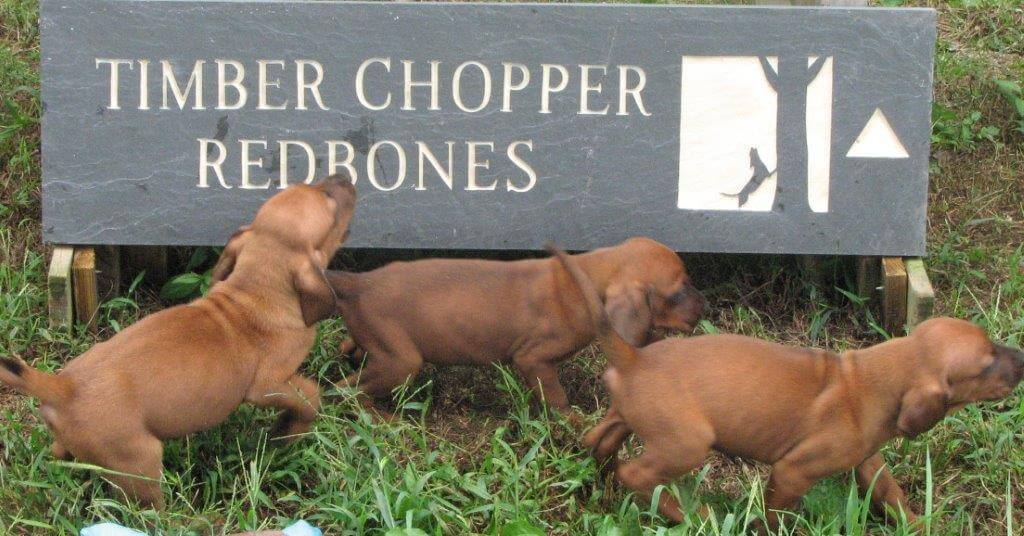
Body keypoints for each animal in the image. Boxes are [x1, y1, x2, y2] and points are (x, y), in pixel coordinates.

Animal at [0, 175, 356, 508]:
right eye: (330, 202)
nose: (343, 176)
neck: (255, 291)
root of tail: (63, 388)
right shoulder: (268, 385)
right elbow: (309, 394)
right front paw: (292, 430)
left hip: (74, 444)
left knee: (59, 455)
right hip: (140, 461)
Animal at [327, 237, 704, 416]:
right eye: (679, 291)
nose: (707, 306)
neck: (583, 279)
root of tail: (358, 282)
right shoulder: (532, 359)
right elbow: (557, 399)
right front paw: (573, 423)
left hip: (381, 346)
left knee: (349, 349)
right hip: (402, 362)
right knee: (346, 391)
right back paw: (382, 421)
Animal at [552, 244, 1024, 528]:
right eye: (986, 365)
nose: (1022, 358)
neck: (874, 378)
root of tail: (636, 357)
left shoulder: (867, 459)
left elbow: (891, 493)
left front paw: (918, 524)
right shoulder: (792, 471)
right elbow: (777, 516)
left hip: (625, 418)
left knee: (598, 442)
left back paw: (603, 486)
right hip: (686, 443)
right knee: (637, 474)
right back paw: (695, 514)